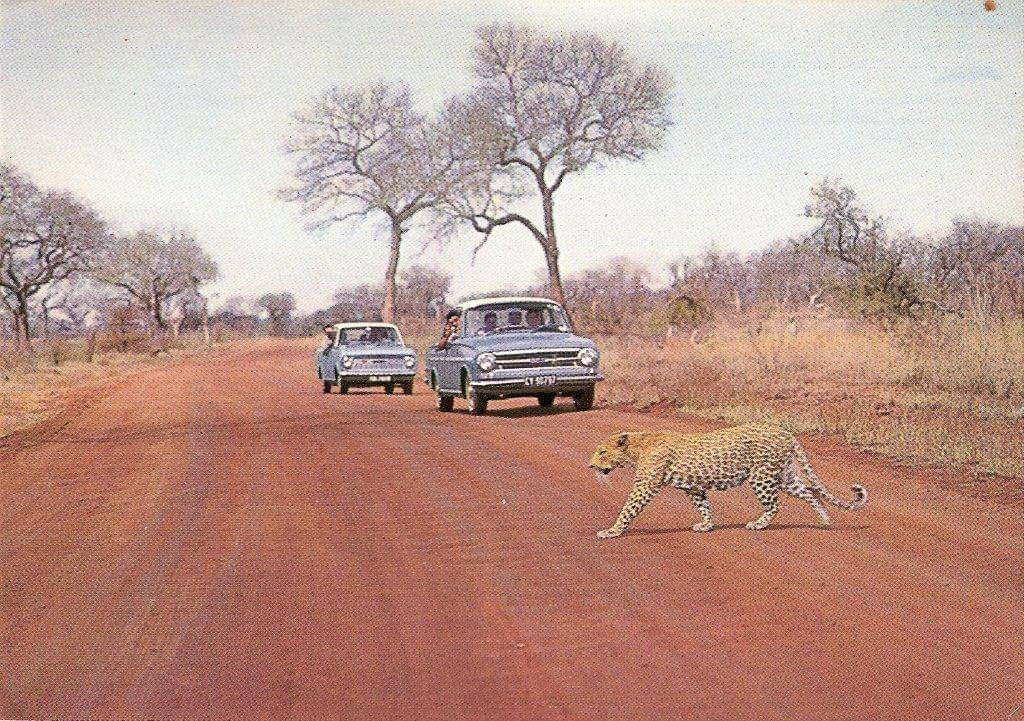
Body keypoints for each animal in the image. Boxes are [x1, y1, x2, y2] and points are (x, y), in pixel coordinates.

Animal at [588, 422, 867, 539]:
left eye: (601, 452)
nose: (590, 466)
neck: (637, 448)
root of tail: (784, 431)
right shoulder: (695, 488)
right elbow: (703, 507)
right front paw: (706, 525)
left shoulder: (645, 486)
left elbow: (627, 510)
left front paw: (612, 531)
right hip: (784, 475)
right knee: (810, 491)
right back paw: (825, 519)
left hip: (761, 476)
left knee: (775, 505)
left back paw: (758, 524)